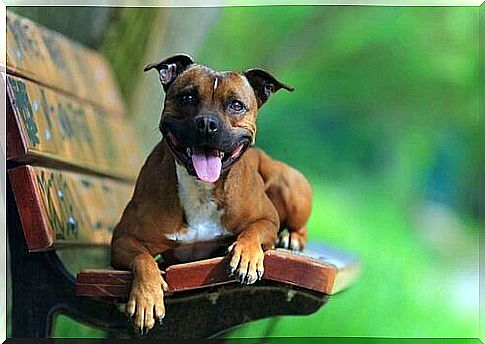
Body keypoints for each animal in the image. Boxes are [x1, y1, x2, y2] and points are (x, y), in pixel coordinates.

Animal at [110, 54, 310, 334]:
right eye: (187, 97)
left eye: (236, 105)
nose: (207, 124)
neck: (202, 188)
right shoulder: (123, 239)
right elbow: (143, 258)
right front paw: (147, 298)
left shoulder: (267, 220)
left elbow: (253, 231)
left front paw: (247, 256)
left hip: (288, 182)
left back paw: (292, 238)